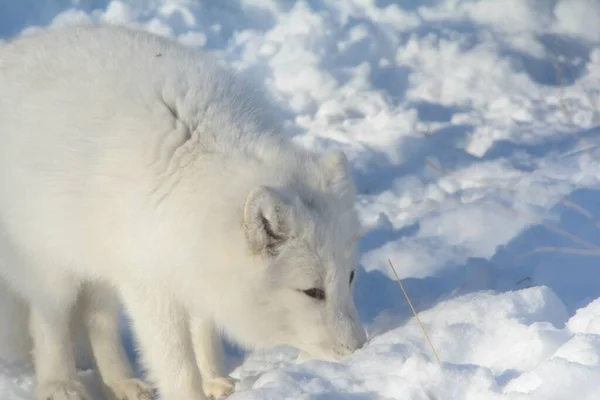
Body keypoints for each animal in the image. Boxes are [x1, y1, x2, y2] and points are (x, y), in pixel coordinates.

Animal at [0, 24, 366, 400]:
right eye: (312, 292)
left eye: (351, 276)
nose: (358, 350)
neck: (194, 167)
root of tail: (13, 49)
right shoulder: (150, 285)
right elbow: (175, 361)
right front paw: (190, 392)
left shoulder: (195, 271)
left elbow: (203, 332)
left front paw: (214, 380)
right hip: (51, 270)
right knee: (47, 321)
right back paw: (60, 385)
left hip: (101, 267)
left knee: (97, 319)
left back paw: (122, 382)